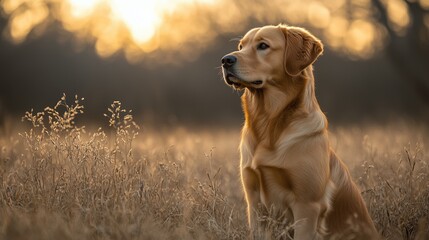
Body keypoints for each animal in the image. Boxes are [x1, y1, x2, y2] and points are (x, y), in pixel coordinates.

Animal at [221, 25, 374, 239]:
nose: (225, 60)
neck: (268, 123)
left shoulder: (307, 205)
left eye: (263, 46)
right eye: (241, 46)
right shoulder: (255, 204)